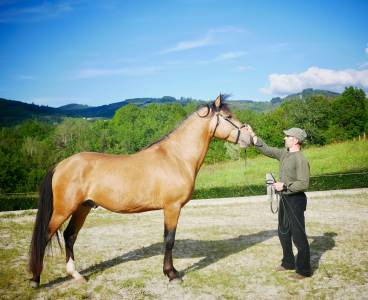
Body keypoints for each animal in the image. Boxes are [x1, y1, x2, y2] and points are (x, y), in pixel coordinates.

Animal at [28, 95, 253, 288]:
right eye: (228, 117)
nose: (250, 138)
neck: (177, 157)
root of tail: (61, 165)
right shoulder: (172, 207)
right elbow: (169, 240)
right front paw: (172, 274)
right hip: (63, 210)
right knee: (46, 236)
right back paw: (35, 279)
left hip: (83, 207)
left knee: (69, 235)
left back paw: (76, 275)